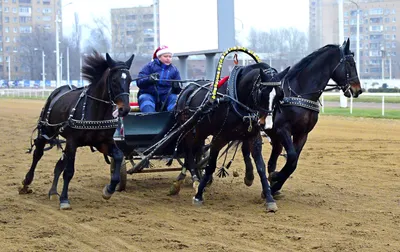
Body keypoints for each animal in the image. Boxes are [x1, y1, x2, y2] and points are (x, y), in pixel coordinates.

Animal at [19, 50, 134, 209]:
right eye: (115, 80)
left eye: (130, 80)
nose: (125, 109)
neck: (94, 111)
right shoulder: (72, 141)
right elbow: (69, 171)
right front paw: (64, 199)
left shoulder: (103, 142)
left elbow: (118, 156)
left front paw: (109, 190)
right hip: (46, 131)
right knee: (38, 154)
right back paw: (26, 182)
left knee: (59, 164)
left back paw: (53, 192)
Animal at [173, 62, 290, 212]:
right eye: (262, 92)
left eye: (280, 94)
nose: (267, 124)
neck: (236, 101)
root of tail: (186, 89)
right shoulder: (219, 138)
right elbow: (211, 166)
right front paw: (198, 196)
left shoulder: (253, 136)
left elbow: (261, 167)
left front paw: (269, 199)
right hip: (189, 130)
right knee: (188, 152)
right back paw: (193, 179)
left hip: (200, 132)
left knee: (196, 151)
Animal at [241, 38, 362, 196]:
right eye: (350, 63)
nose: (358, 89)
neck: (298, 94)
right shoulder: (282, 130)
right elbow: (292, 156)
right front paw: (275, 178)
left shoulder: (302, 134)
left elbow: (293, 162)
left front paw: (275, 184)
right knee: (245, 148)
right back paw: (249, 176)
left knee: (271, 159)